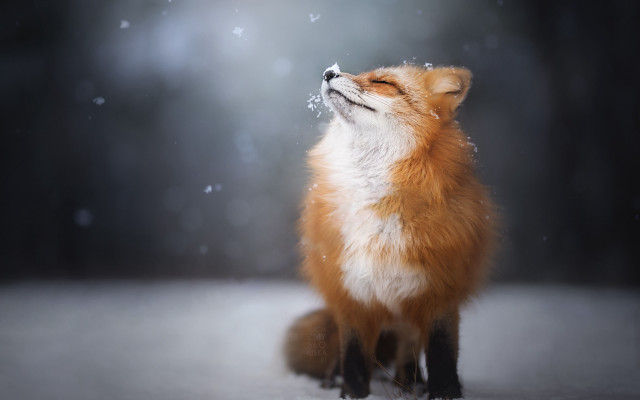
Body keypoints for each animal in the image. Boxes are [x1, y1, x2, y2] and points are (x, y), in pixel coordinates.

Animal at [285, 63, 497, 399]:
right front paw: (352, 393)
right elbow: (353, 355)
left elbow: (442, 353)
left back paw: (408, 384)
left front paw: (444, 392)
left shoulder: (440, 290)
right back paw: (335, 380)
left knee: (407, 350)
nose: (329, 72)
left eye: (383, 82)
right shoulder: (352, 292)